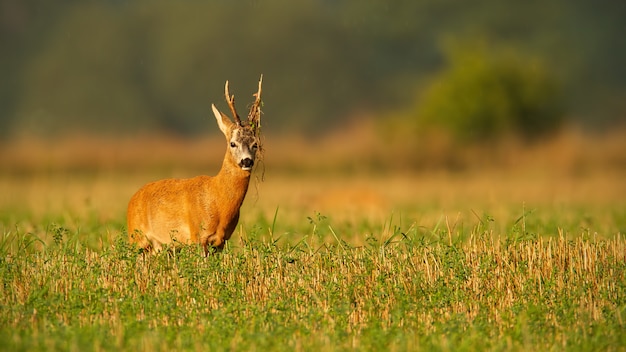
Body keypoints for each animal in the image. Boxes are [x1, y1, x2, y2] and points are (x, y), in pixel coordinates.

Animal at [127, 75, 264, 254]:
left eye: (256, 144)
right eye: (233, 143)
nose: (246, 161)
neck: (218, 200)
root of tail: (132, 200)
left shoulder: (221, 242)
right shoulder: (197, 236)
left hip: (158, 246)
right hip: (137, 239)